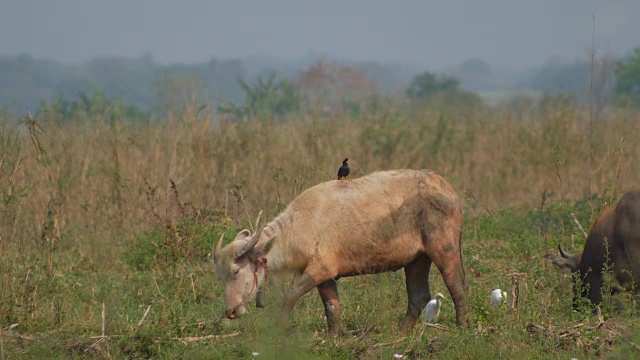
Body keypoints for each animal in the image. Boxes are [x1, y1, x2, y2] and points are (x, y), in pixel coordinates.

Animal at [212, 170, 468, 336]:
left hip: (444, 248)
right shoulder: (325, 277)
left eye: (236, 271)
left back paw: (461, 325)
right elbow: (332, 306)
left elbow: (291, 294)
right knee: (419, 297)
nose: (231, 311)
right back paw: (401, 333)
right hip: (417, 259)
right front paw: (333, 336)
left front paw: (279, 327)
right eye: (220, 277)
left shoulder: (320, 269)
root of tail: (448, 188)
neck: (300, 226)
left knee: (456, 286)